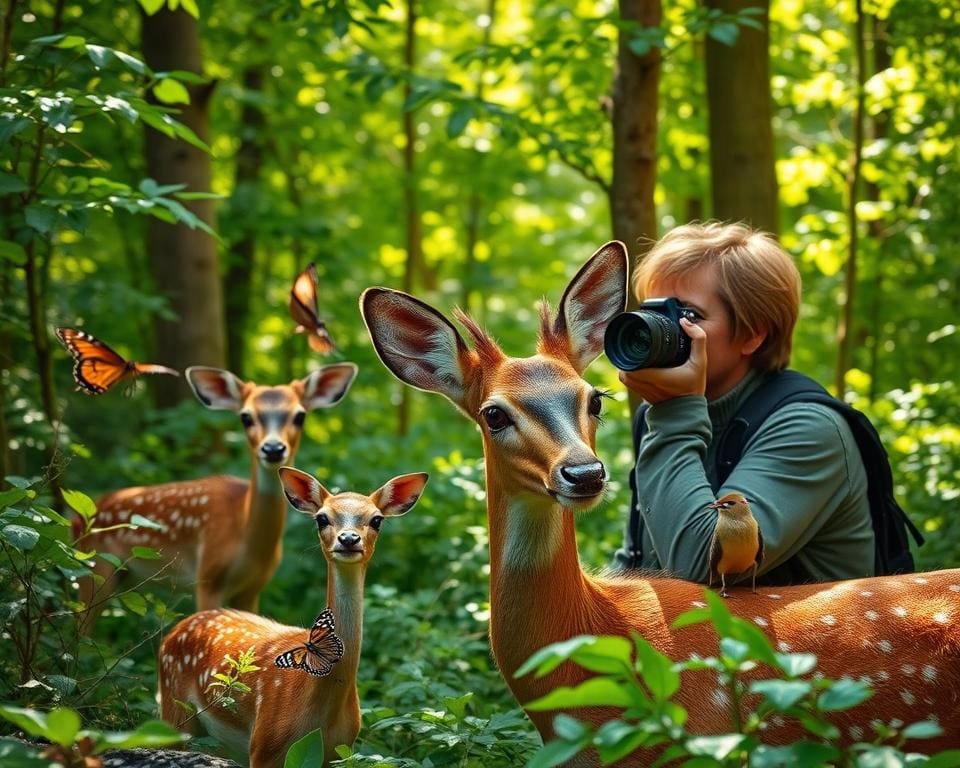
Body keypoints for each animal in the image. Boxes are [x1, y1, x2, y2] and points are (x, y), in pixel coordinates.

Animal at [75, 364, 358, 632]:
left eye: (300, 415)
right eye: (245, 416)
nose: (273, 448)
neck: (244, 537)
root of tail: (78, 519)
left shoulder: (253, 588)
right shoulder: (207, 576)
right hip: (92, 564)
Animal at [158, 464, 428, 764]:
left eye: (376, 519)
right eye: (322, 518)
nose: (348, 539)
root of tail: (177, 629)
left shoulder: (338, 751)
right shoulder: (264, 744)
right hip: (173, 711)